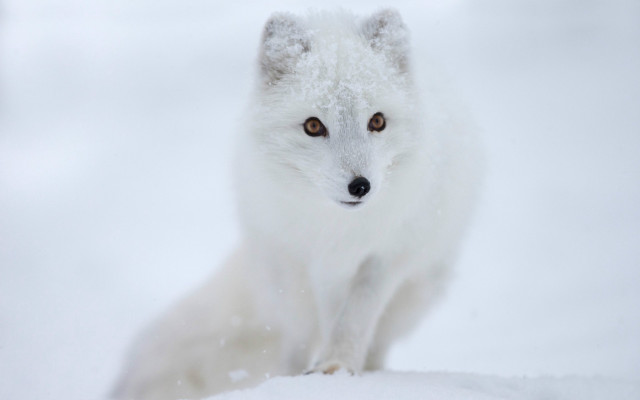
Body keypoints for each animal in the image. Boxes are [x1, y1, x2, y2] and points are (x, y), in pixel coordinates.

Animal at [113, 8, 481, 400]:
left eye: (377, 121)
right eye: (314, 126)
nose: (360, 186)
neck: (338, 228)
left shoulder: (387, 256)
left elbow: (355, 317)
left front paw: (338, 366)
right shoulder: (307, 263)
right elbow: (319, 325)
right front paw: (311, 375)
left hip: (418, 289)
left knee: (377, 340)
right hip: (282, 277)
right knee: (300, 332)